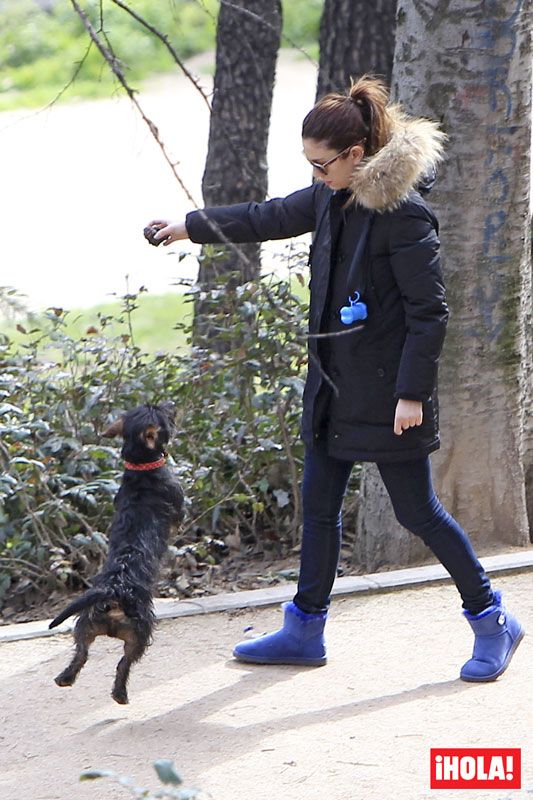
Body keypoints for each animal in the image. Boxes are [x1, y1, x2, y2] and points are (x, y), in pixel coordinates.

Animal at [49, 404, 185, 704]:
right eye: (161, 412)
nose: (172, 405)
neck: (140, 466)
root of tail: (114, 590)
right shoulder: (178, 506)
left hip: (85, 624)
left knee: (81, 654)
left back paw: (65, 678)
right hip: (140, 632)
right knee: (124, 663)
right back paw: (120, 693)